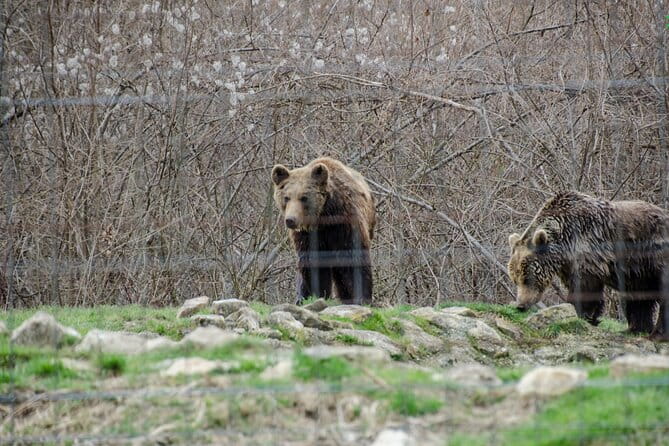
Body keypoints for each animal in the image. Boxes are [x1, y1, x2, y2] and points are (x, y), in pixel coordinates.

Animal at [271, 157, 376, 305]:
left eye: (304, 197)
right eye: (286, 197)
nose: (290, 220)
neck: (324, 216)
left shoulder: (345, 223)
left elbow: (352, 259)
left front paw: (360, 297)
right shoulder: (308, 235)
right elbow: (313, 262)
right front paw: (317, 294)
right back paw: (300, 298)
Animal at [507, 191, 669, 337]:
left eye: (527, 278)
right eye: (515, 279)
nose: (520, 305)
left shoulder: (588, 253)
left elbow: (585, 287)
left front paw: (581, 315)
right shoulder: (568, 264)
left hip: (654, 255)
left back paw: (657, 334)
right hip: (639, 270)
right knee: (638, 297)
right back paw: (635, 329)